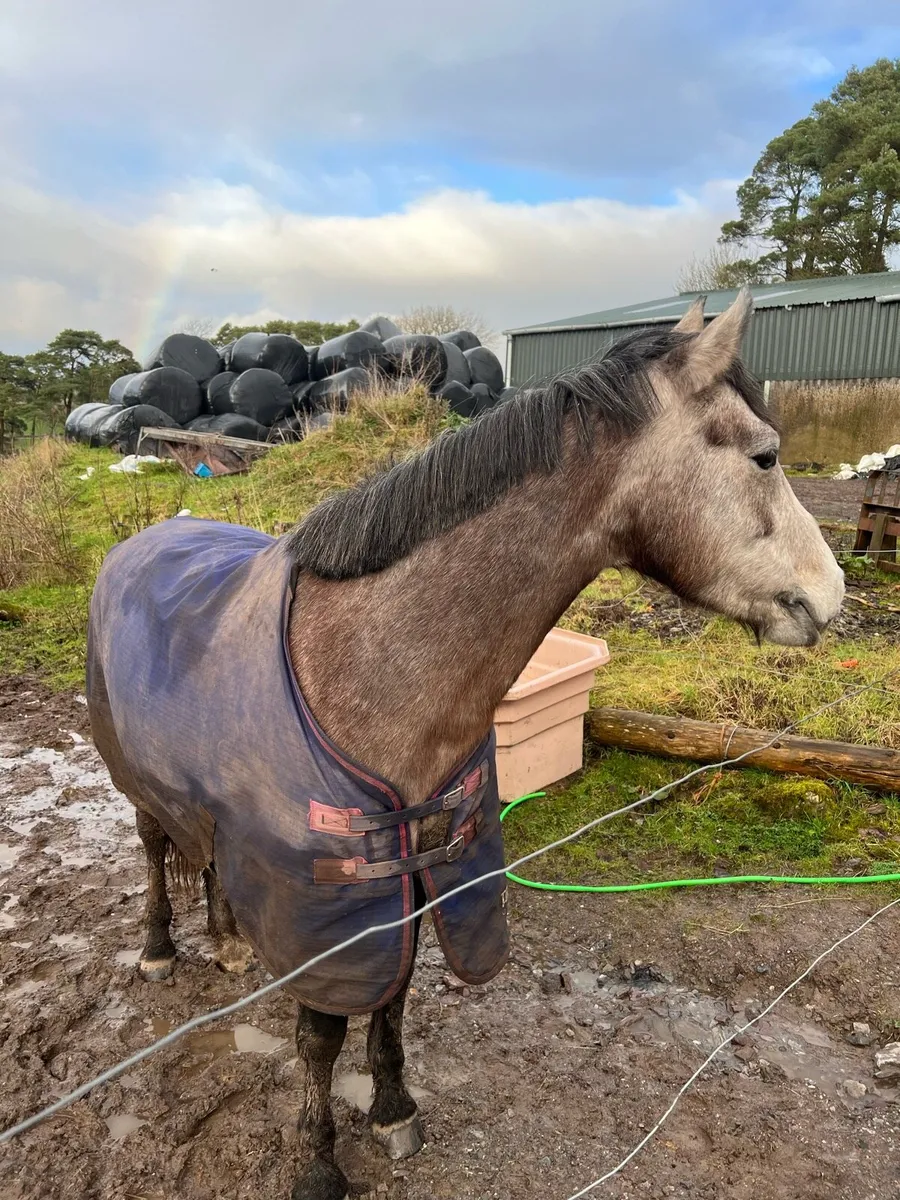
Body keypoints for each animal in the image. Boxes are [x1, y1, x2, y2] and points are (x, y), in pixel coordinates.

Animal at [86, 289, 844, 1200]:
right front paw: (318, 1161)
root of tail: (141, 540)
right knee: (154, 846)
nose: (833, 594)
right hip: (135, 782)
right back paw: (160, 949)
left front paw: (393, 1108)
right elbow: (321, 1035)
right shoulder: (330, 909)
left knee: (202, 852)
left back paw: (230, 941)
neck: (368, 664)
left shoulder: (416, 873)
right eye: (765, 456)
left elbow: (396, 994)